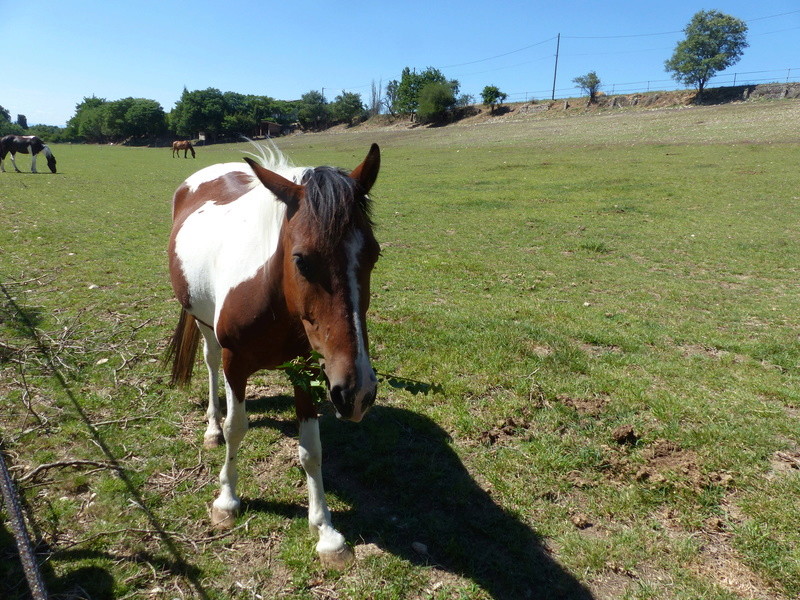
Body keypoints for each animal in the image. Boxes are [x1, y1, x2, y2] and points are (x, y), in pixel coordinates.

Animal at [166, 142, 382, 568]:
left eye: (375, 255)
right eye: (301, 260)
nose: (358, 392)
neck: (271, 293)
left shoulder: (308, 368)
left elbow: (311, 448)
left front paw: (326, 532)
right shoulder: (235, 363)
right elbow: (237, 427)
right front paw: (227, 501)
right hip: (203, 323)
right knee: (209, 365)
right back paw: (211, 428)